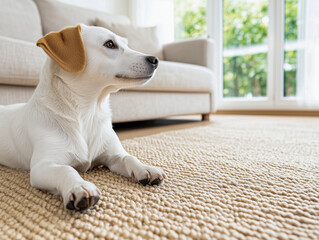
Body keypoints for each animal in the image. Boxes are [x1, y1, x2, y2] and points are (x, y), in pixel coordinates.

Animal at [0, 24, 168, 210]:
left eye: (126, 43)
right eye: (110, 44)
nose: (155, 60)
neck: (88, 112)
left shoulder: (113, 156)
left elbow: (128, 157)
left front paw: (145, 167)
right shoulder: (42, 166)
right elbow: (66, 169)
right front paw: (79, 186)